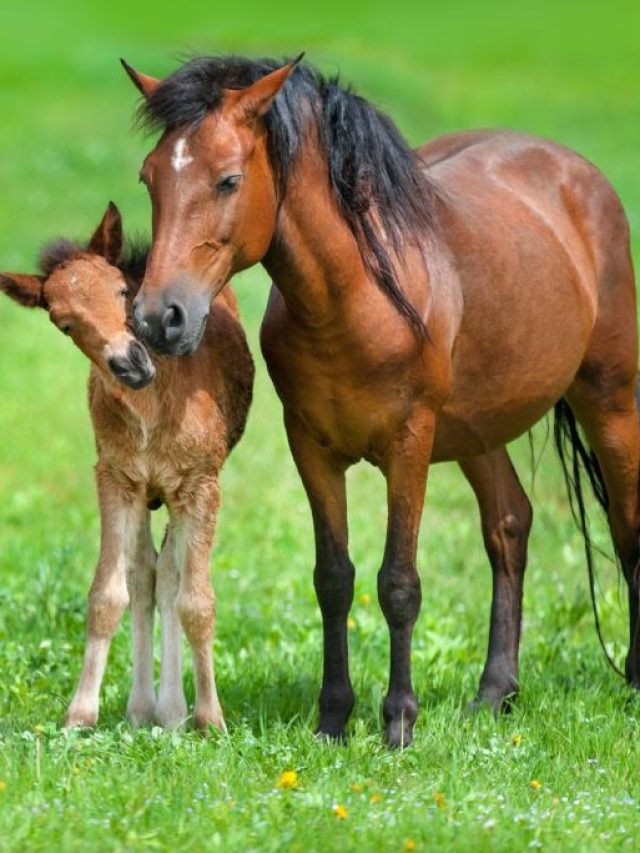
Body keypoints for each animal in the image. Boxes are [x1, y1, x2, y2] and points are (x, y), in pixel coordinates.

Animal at [0, 203, 255, 728]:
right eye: (64, 323)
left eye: (122, 290)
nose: (131, 363)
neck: (152, 412)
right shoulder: (117, 480)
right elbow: (108, 594)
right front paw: (80, 714)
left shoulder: (200, 484)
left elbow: (196, 600)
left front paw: (210, 719)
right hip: (144, 495)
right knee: (145, 575)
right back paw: (144, 708)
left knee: (170, 575)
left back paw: (173, 710)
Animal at [121, 55, 640, 744]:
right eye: (150, 177)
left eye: (229, 180)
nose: (159, 319)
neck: (355, 298)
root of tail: (577, 173)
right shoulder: (311, 448)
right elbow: (333, 579)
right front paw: (333, 719)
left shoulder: (408, 446)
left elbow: (398, 583)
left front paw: (398, 722)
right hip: (477, 432)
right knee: (509, 526)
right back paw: (494, 693)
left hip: (609, 400)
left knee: (626, 526)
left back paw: (632, 678)